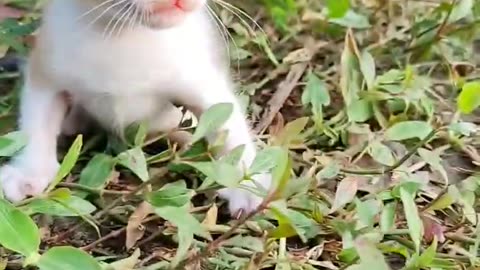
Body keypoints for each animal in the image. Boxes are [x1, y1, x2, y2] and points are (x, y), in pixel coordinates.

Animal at [0, 0, 270, 215]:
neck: (122, 34)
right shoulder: (47, 66)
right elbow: (37, 122)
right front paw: (29, 173)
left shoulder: (199, 76)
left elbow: (229, 125)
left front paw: (246, 182)